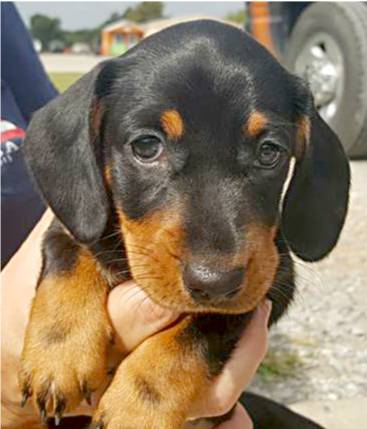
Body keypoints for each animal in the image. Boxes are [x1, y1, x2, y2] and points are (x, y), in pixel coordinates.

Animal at [19, 20, 350, 428]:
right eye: (146, 146)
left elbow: (192, 336)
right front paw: (58, 351)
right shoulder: (74, 222)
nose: (215, 282)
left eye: (269, 152)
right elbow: (68, 254)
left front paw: (138, 408)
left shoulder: (268, 284)